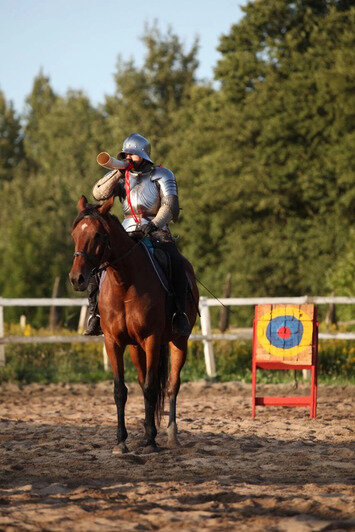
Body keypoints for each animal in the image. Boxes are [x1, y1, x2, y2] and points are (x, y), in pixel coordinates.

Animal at [68, 195, 199, 454]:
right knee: (144, 382)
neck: (125, 282)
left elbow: (151, 388)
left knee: (172, 385)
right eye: (74, 233)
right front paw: (121, 441)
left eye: (98, 235)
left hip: (179, 342)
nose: (77, 278)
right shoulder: (113, 342)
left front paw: (151, 441)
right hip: (136, 348)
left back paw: (171, 435)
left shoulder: (152, 339)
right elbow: (121, 391)